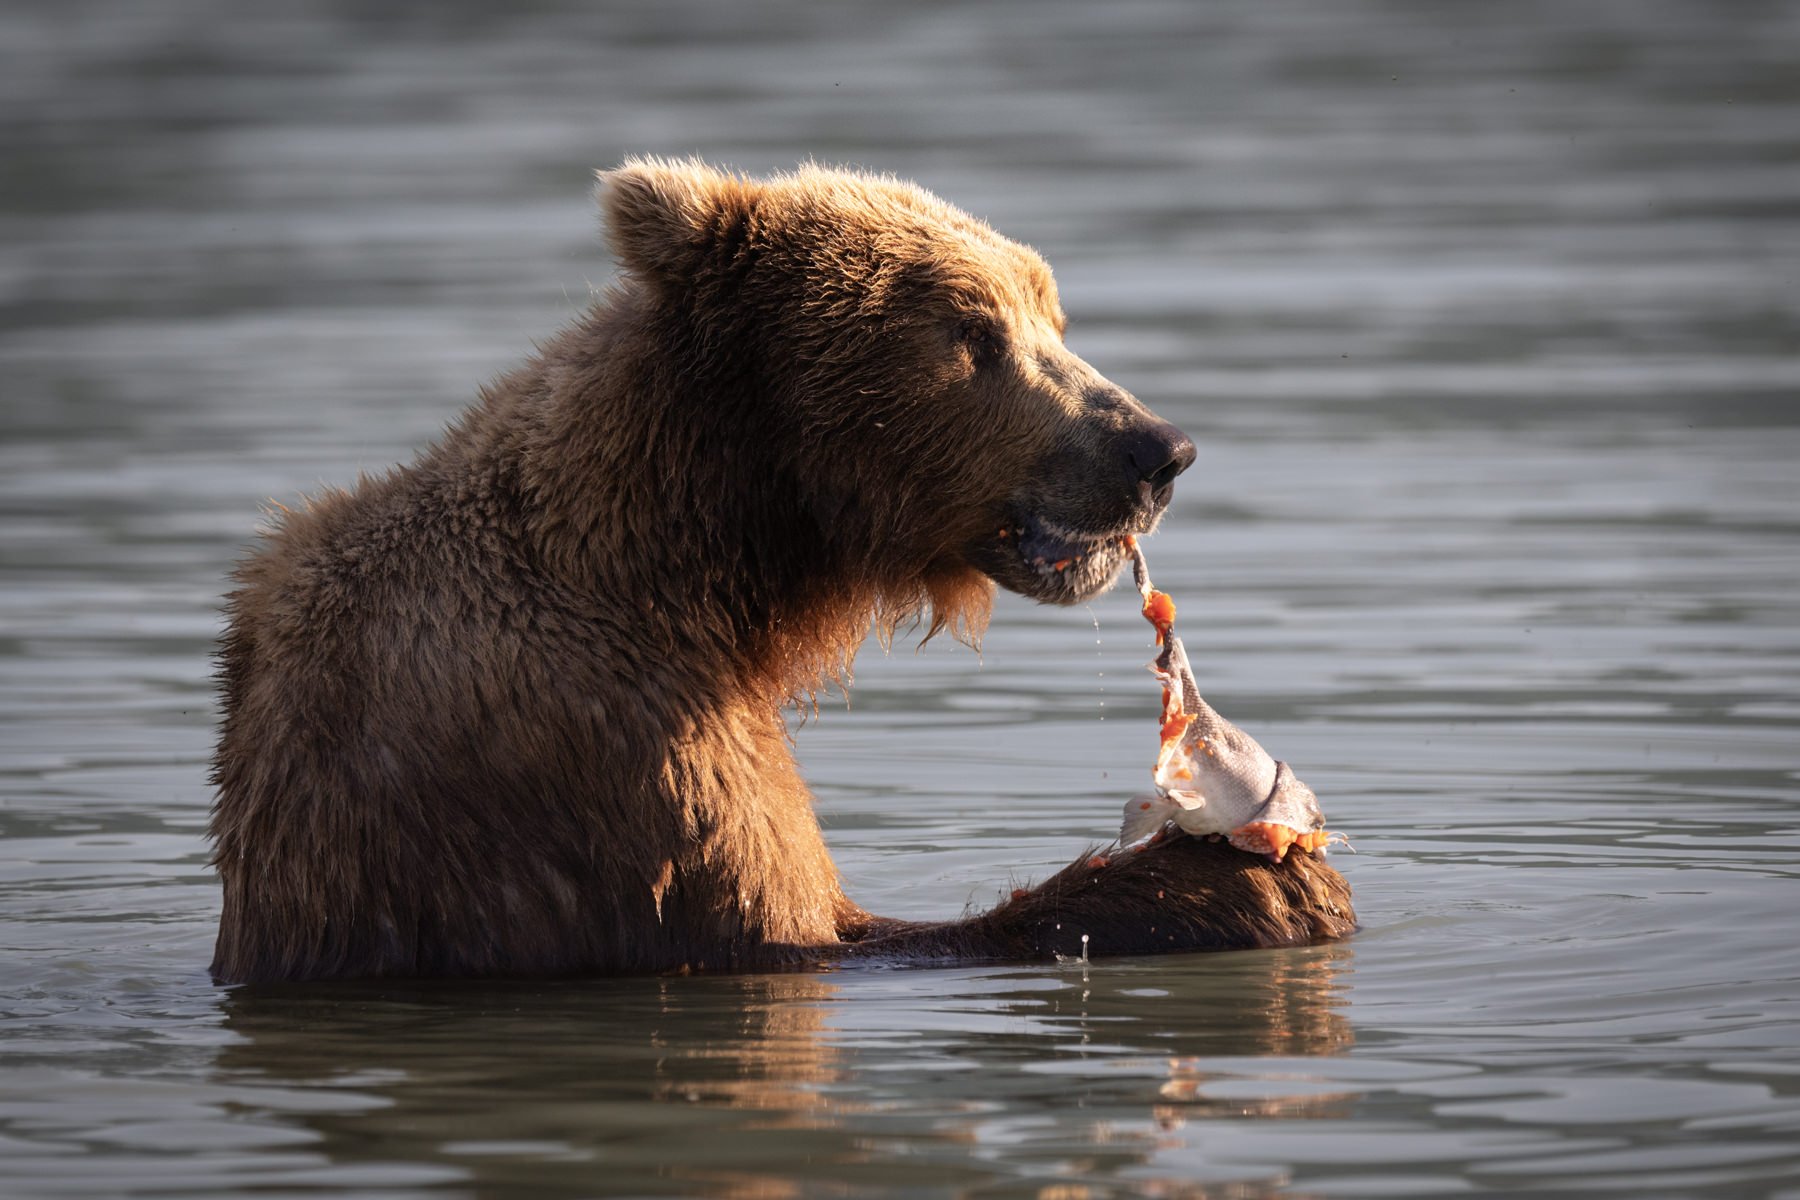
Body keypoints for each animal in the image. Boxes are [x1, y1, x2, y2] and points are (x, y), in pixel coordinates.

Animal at [207, 161, 1353, 985]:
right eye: (974, 331)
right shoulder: (607, 740)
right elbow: (799, 933)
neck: (701, 559)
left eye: (1052, 316)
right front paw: (1252, 882)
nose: (1158, 450)